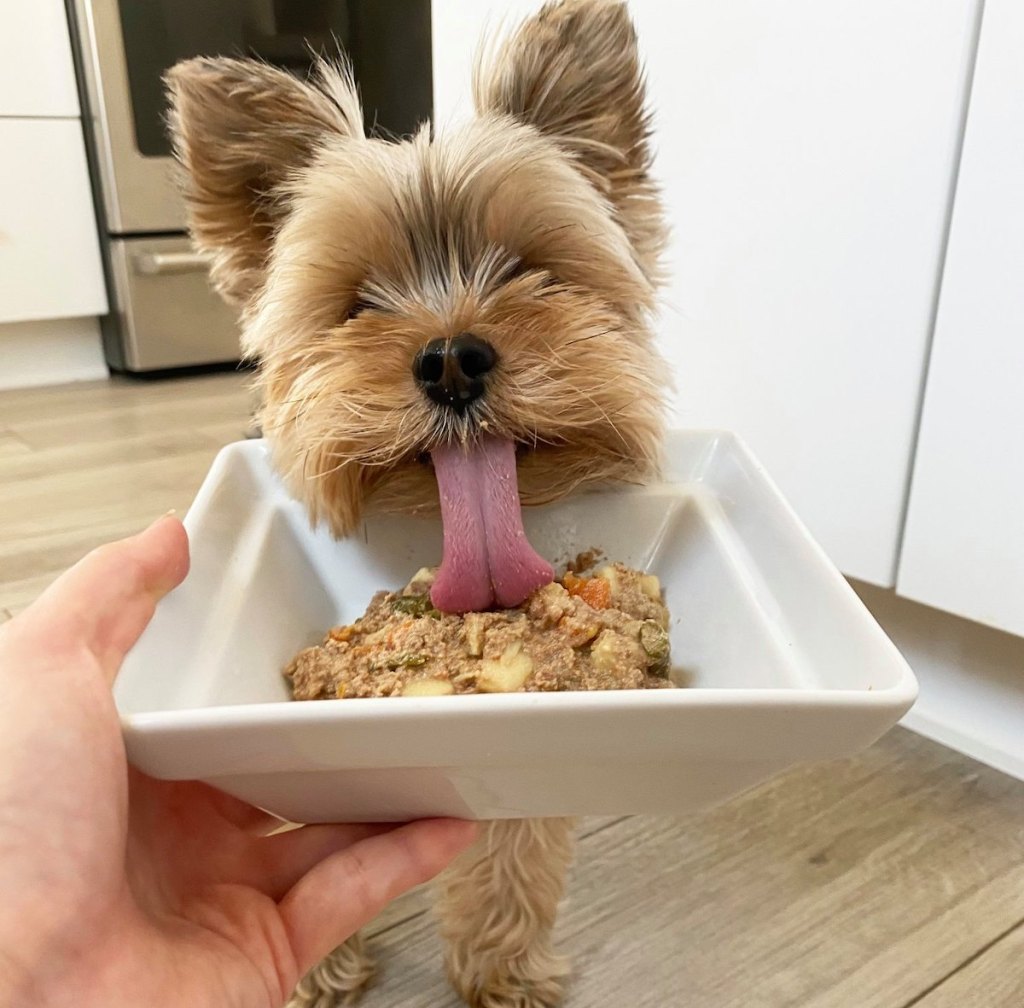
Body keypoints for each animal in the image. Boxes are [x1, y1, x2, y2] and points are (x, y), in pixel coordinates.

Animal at [164, 3, 667, 1003]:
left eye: (531, 271)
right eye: (356, 306)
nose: (450, 357)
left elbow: (515, 845)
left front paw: (504, 968)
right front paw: (315, 968)